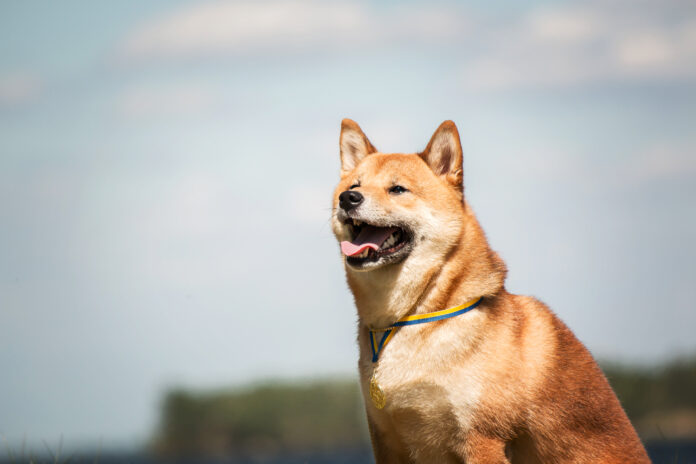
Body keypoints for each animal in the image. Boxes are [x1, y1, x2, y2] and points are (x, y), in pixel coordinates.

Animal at [328, 120, 648, 464]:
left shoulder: (481, 438)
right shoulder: (387, 441)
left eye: (398, 189)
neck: (413, 316)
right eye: (355, 184)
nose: (348, 198)